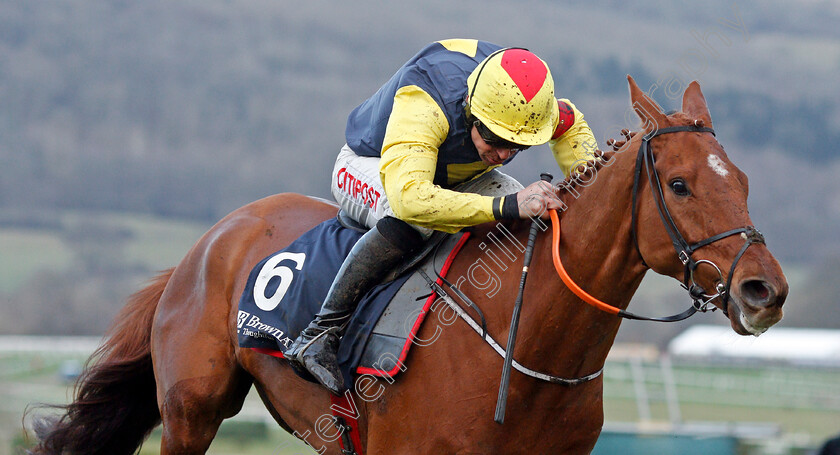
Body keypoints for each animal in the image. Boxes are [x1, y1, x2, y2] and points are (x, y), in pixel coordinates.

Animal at [27, 78, 788, 455]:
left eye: (748, 181)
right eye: (681, 185)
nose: (765, 289)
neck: (526, 351)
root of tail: (209, 241)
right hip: (192, 411)